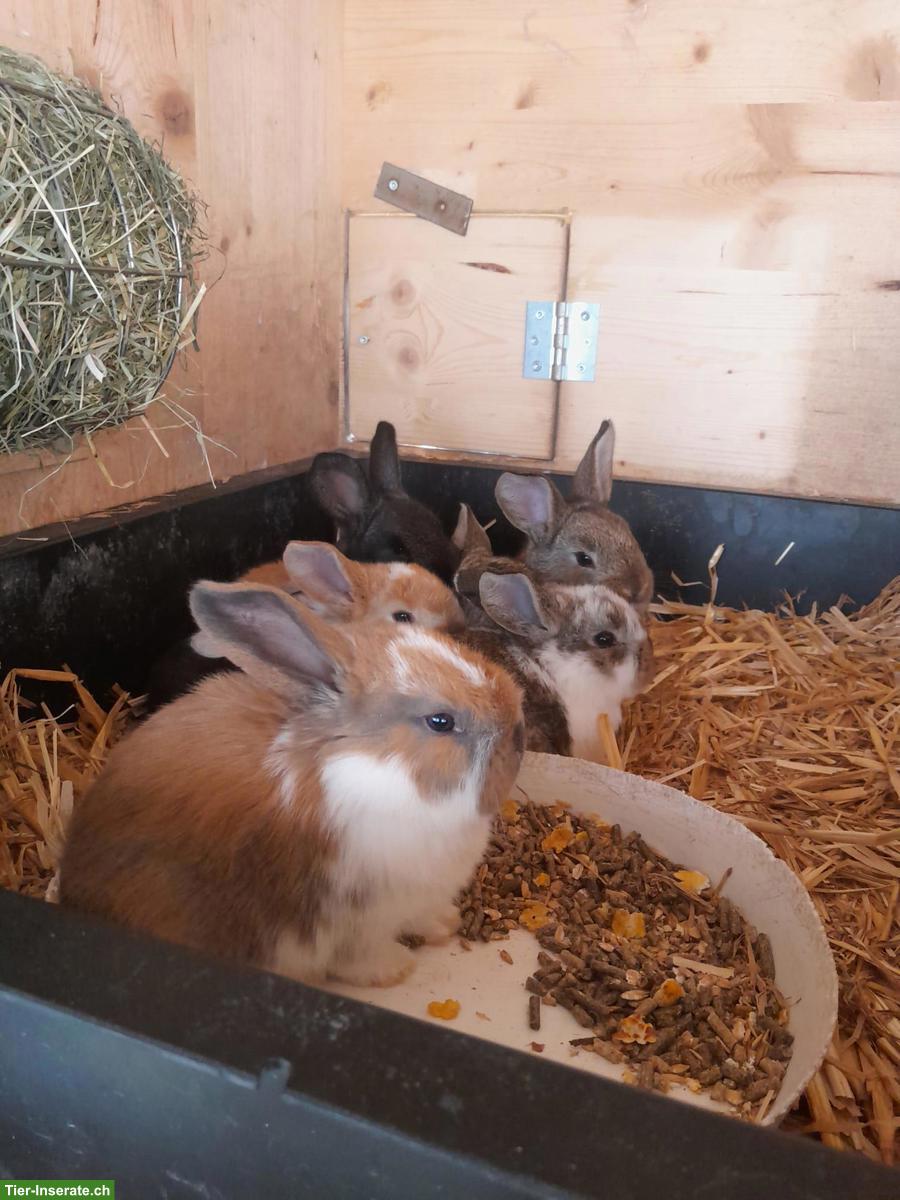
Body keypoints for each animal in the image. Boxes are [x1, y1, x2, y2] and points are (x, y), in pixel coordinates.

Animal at [60, 581, 525, 988]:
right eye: (440, 721)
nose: (518, 735)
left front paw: (446, 924)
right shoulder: (356, 922)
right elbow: (360, 957)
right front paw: (396, 970)